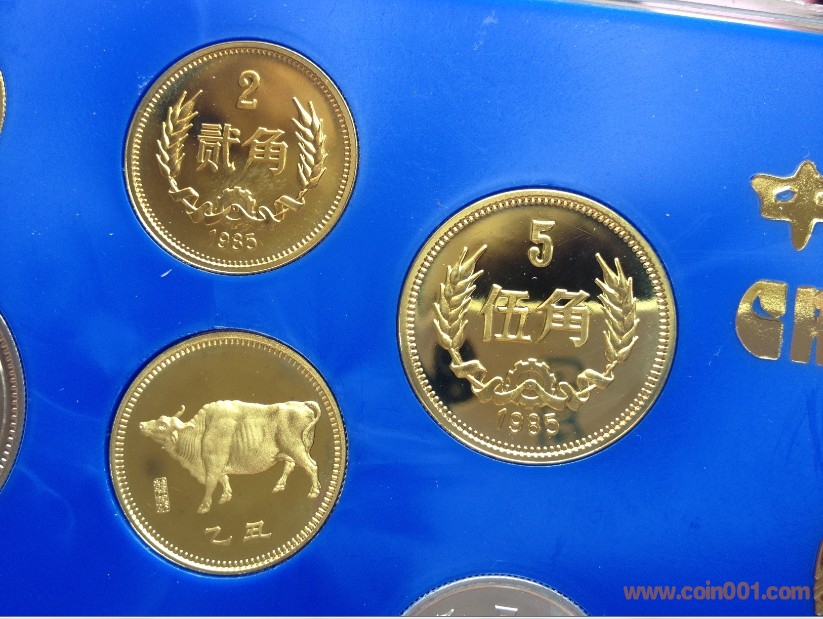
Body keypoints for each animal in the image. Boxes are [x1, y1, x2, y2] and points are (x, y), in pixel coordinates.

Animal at [139, 400, 321, 514]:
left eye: (162, 425)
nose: (141, 424)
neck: (201, 431)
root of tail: (303, 404)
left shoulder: (212, 464)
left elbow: (211, 483)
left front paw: (203, 507)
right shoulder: (218, 467)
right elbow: (224, 479)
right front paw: (225, 497)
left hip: (297, 449)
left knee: (311, 466)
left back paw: (314, 492)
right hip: (290, 453)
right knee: (292, 466)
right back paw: (280, 487)